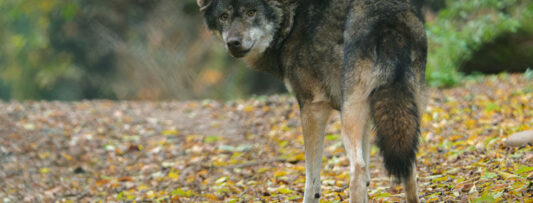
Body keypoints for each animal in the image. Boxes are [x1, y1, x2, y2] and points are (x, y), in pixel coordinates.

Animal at [197, 0, 426, 202]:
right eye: (223, 16)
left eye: (251, 12)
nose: (233, 43)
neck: (292, 18)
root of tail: (387, 18)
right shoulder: (365, 116)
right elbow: (369, 177)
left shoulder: (312, 108)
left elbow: (312, 181)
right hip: (406, 115)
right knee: (409, 167)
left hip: (350, 116)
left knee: (358, 169)